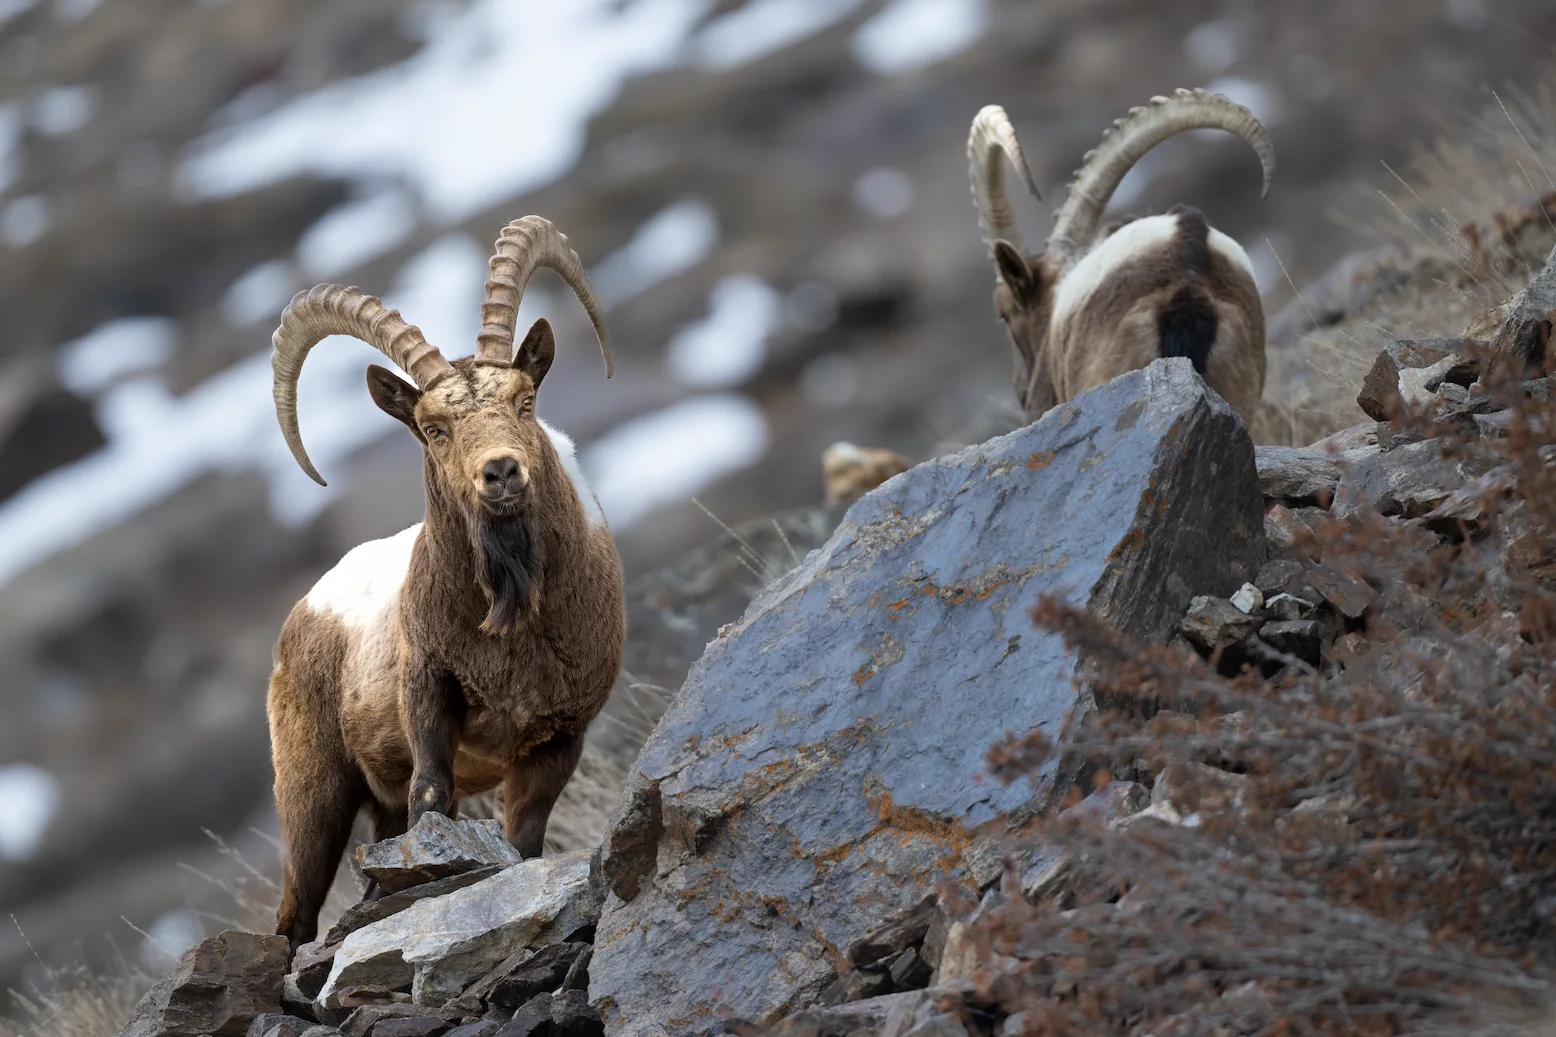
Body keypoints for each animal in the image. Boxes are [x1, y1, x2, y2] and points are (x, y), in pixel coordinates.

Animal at [264, 215, 625, 953]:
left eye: (524, 400)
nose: (501, 472)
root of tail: (303, 609)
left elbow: (526, 839)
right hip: (312, 786)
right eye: (433, 428)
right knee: (297, 914)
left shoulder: (560, 734)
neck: (513, 621)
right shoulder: (428, 693)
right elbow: (429, 798)